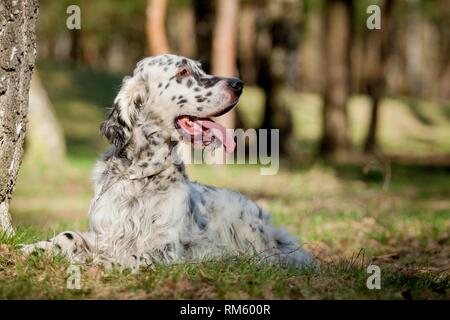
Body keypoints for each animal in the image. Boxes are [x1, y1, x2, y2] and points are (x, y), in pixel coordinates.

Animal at [21, 54, 312, 268]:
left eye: (200, 69)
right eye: (183, 72)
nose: (239, 84)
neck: (141, 177)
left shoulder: (166, 248)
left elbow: (133, 255)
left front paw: (104, 262)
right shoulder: (105, 232)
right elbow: (67, 235)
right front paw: (35, 248)